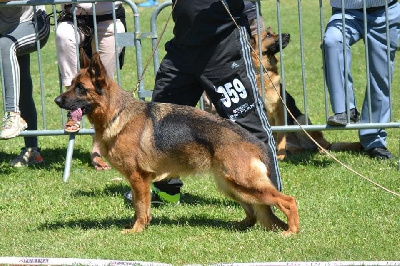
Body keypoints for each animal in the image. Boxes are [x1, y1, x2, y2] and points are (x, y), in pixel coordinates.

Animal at [55, 52, 300, 235]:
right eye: (71, 85)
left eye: (80, 88)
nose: (57, 100)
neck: (117, 113)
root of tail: (254, 142)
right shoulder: (138, 181)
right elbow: (138, 207)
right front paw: (137, 225)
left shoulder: (138, 178)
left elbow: (140, 207)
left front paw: (136, 230)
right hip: (232, 186)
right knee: (254, 212)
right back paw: (240, 225)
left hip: (244, 183)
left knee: (288, 200)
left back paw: (291, 231)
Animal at [252, 27, 360, 158]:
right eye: (268, 35)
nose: (288, 35)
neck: (261, 73)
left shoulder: (280, 113)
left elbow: (281, 136)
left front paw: (280, 156)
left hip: (301, 119)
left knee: (322, 144)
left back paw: (321, 151)